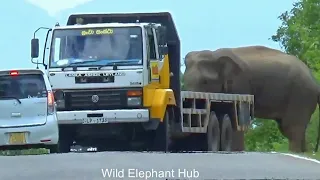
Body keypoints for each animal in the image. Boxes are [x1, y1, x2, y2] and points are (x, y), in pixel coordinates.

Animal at [182, 45, 320, 153]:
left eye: (205, 82)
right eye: (184, 80)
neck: (214, 55)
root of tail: (315, 82)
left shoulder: (240, 83)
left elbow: (238, 116)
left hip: (301, 96)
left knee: (291, 128)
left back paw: (295, 153)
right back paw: (303, 153)